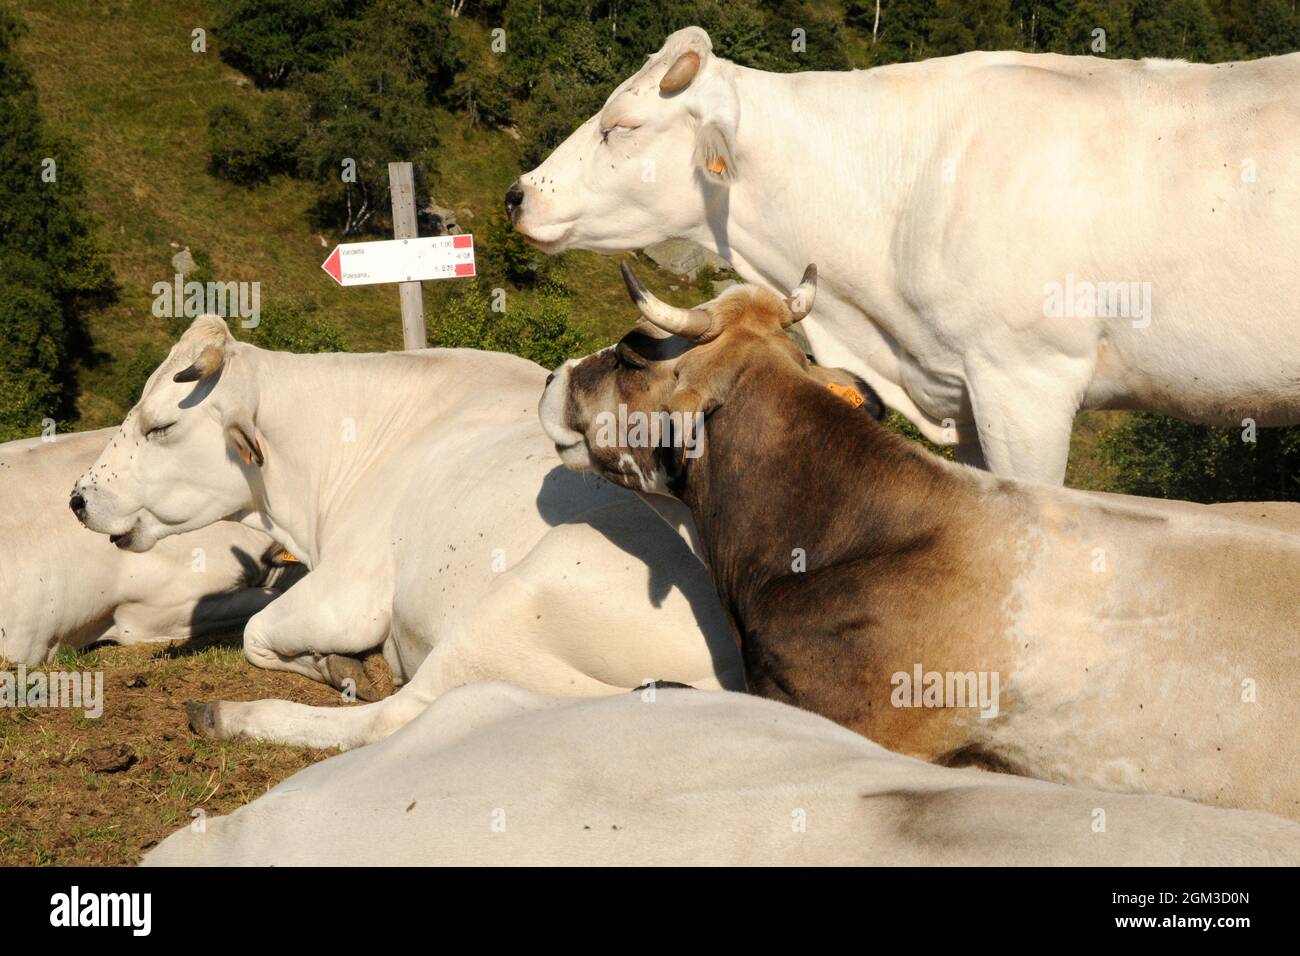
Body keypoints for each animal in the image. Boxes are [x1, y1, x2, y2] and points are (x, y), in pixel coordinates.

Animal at [71, 314, 743, 749]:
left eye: (159, 427)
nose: (77, 497)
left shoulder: (348, 595)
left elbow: (256, 633)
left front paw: (340, 666)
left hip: (504, 611)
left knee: (396, 717)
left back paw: (228, 715)